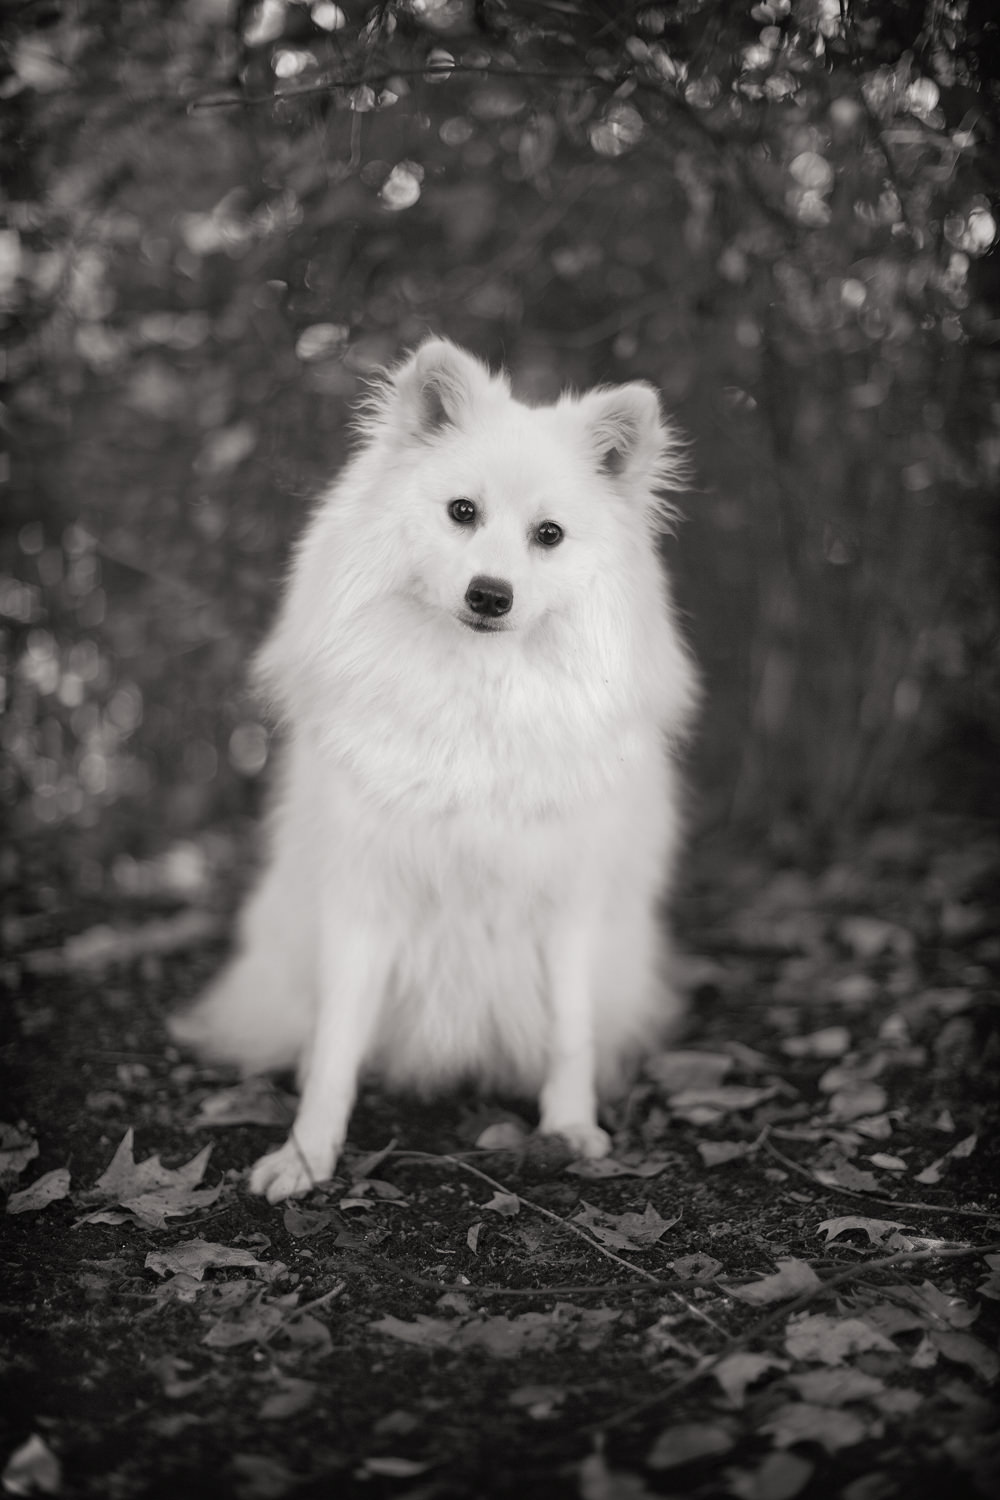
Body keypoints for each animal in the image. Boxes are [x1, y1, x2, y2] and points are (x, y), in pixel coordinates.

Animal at [170, 334, 695, 1200]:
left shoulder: (569, 904)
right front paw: (306, 1155)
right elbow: (338, 1046)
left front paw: (569, 1127)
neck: (475, 701)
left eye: (549, 534)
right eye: (462, 512)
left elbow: (570, 1030)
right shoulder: (364, 896)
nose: (490, 595)